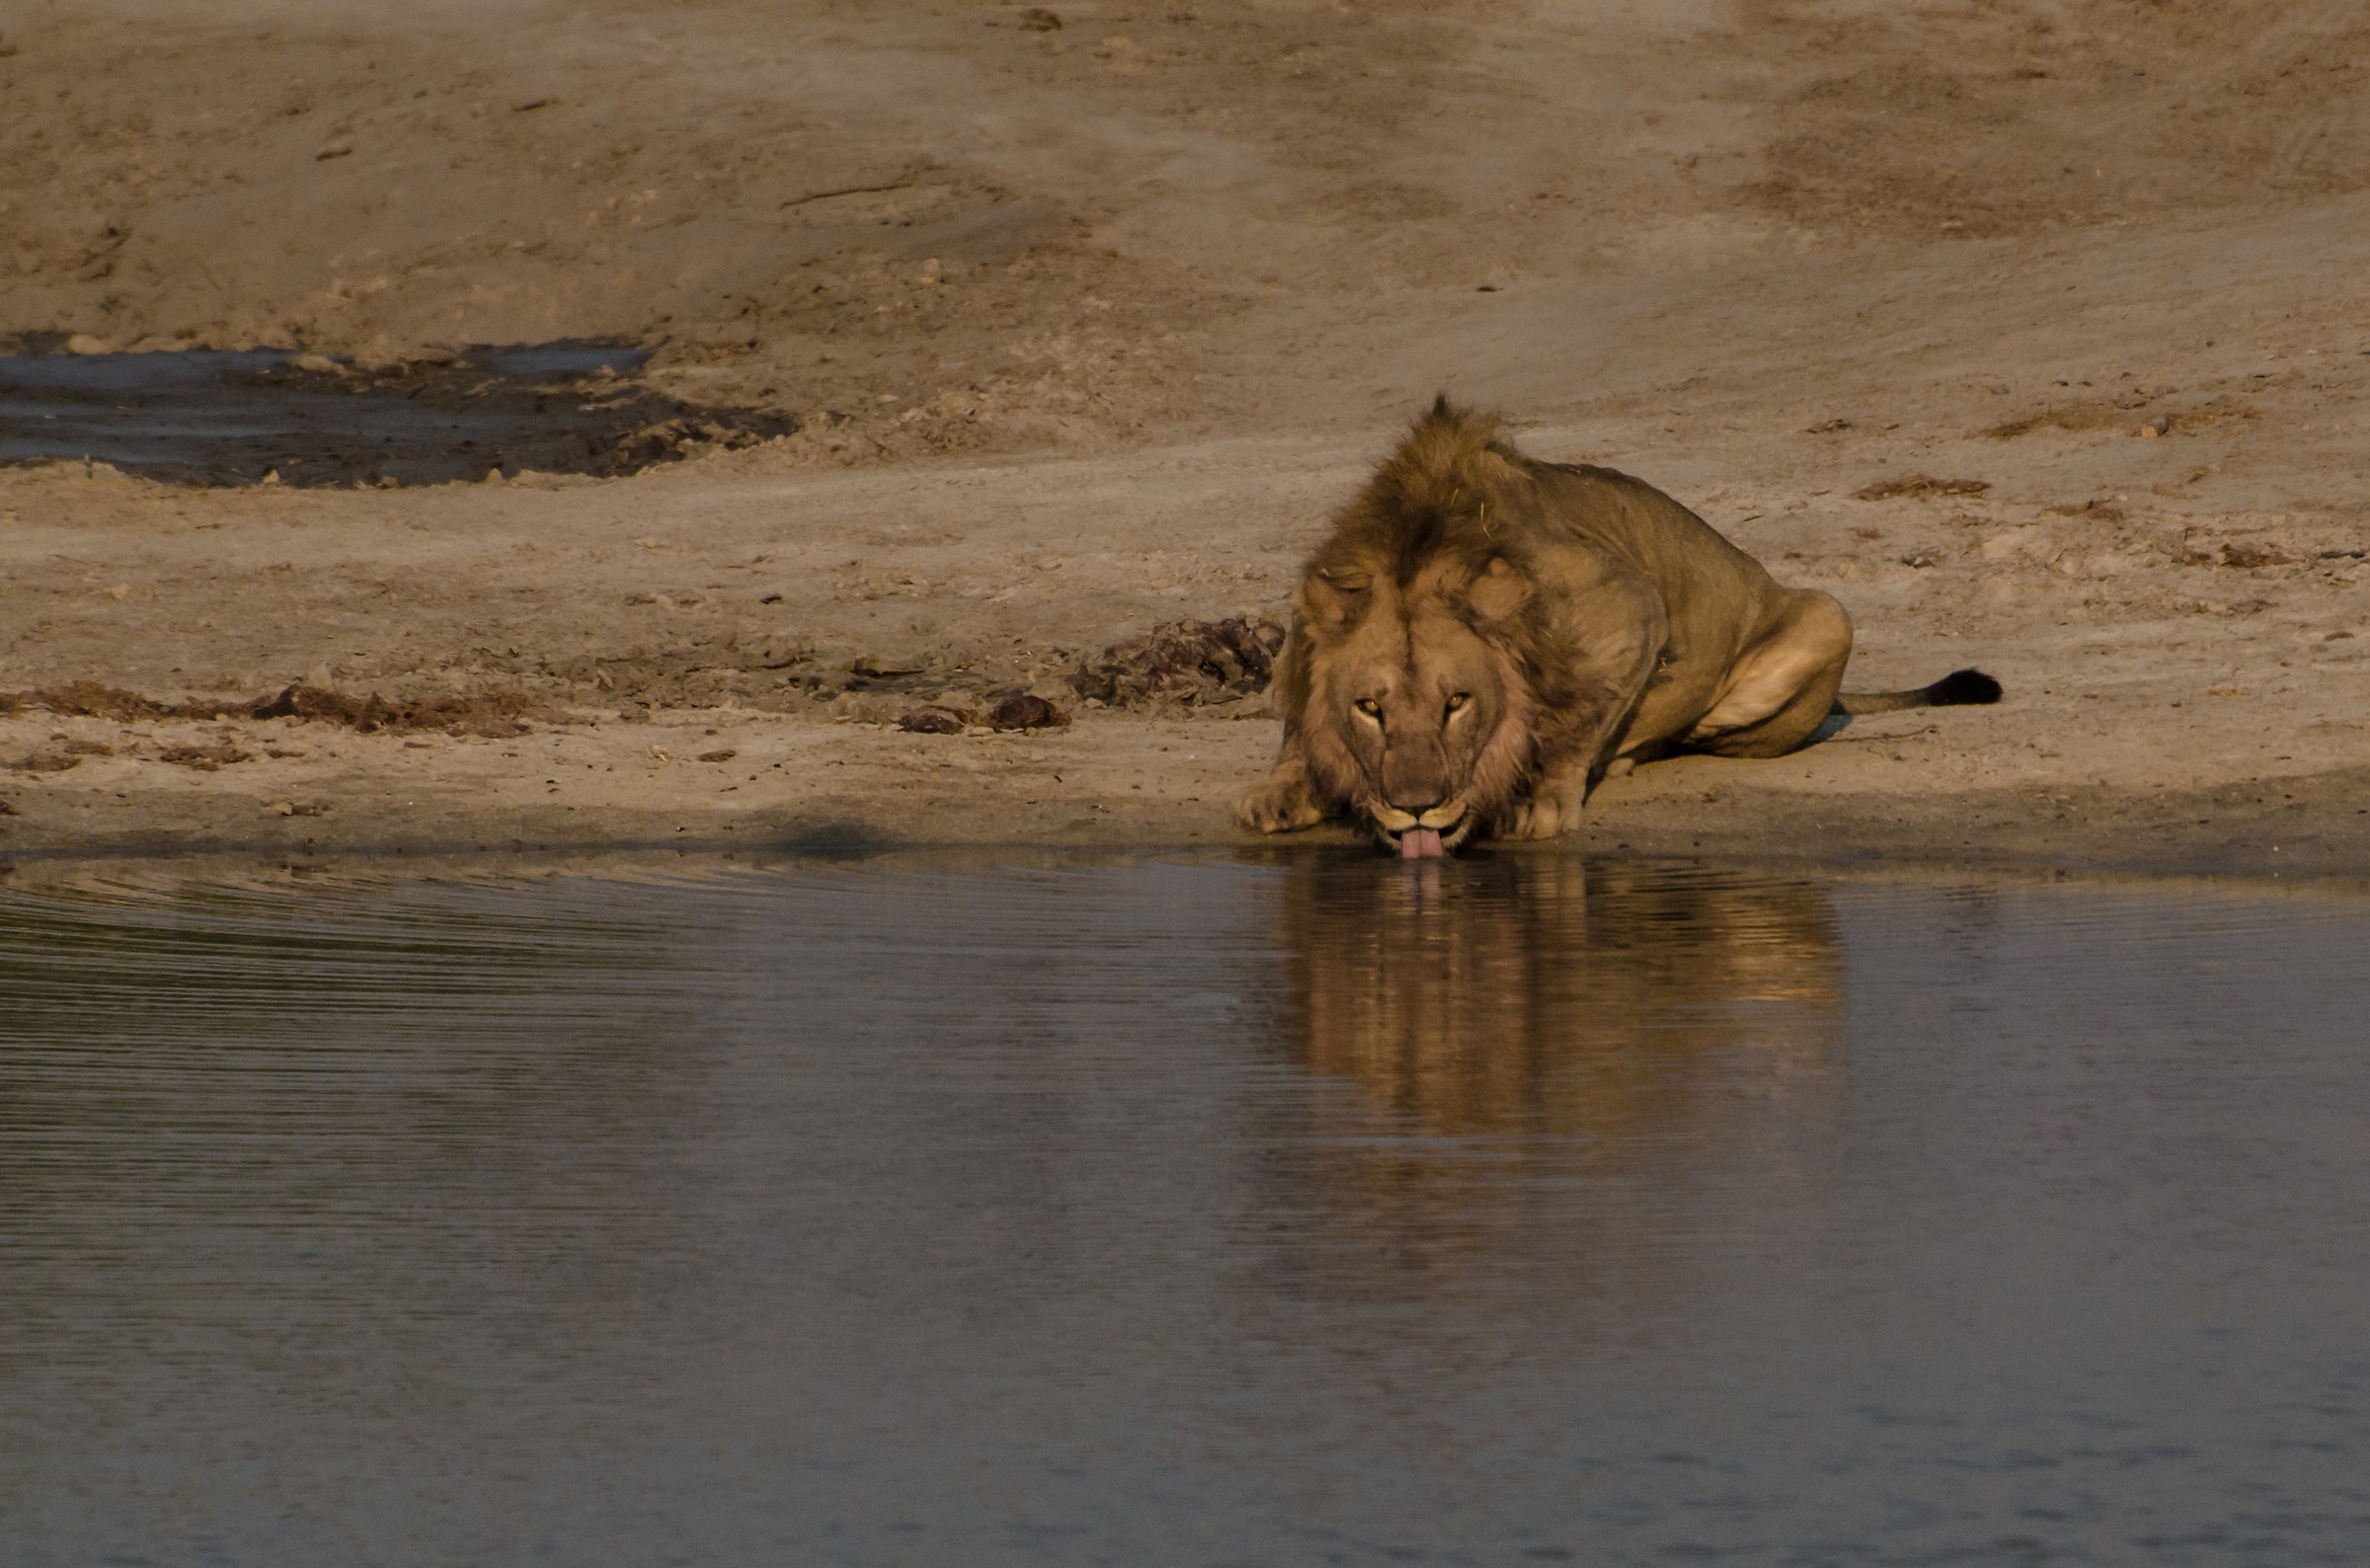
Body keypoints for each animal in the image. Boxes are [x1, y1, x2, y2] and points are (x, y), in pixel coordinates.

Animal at [1235, 398, 2001, 856]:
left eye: (1458, 704)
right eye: (1370, 708)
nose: (1417, 808)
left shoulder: (1629, 604)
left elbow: (1579, 712)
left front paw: (1537, 801)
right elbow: (1298, 726)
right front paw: (1280, 791)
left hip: (1826, 616)